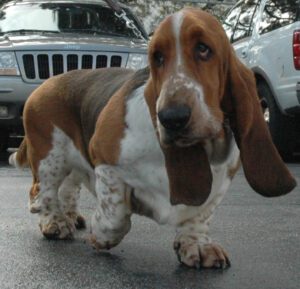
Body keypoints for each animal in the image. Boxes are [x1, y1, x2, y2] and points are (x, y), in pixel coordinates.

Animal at [8, 7, 296, 268]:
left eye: (204, 49)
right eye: (157, 57)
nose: (172, 118)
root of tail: (48, 83)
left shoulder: (222, 179)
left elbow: (200, 215)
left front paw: (197, 245)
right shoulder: (105, 157)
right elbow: (117, 215)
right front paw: (100, 234)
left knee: (68, 187)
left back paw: (70, 216)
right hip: (50, 158)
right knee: (41, 193)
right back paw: (55, 222)